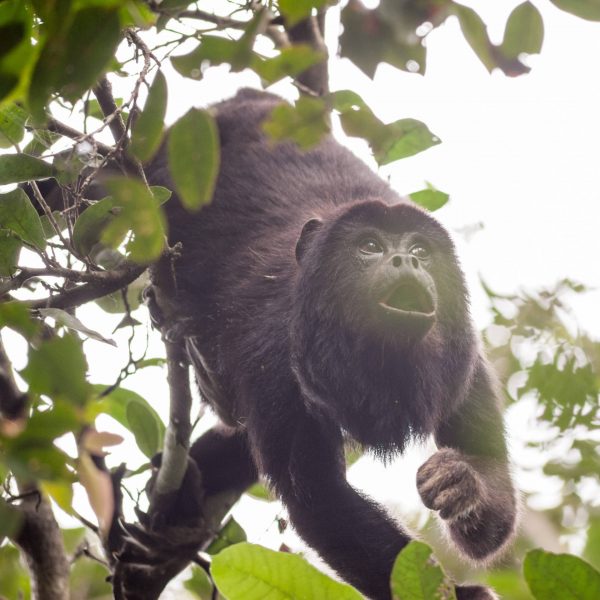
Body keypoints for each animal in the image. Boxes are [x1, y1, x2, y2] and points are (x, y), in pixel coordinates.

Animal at [154, 90, 516, 600]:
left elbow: (490, 480)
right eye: (369, 247)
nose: (406, 260)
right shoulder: (274, 353)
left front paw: (463, 485)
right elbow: (320, 500)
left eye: (420, 251)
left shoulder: (464, 360)